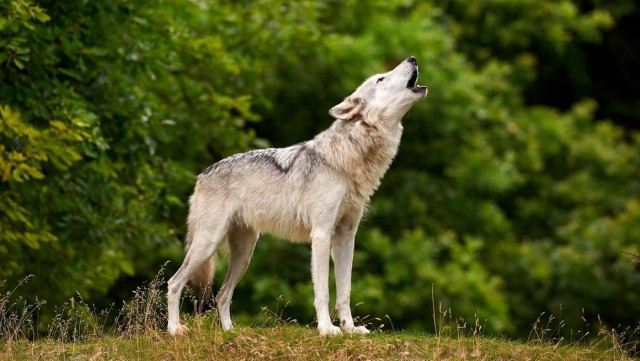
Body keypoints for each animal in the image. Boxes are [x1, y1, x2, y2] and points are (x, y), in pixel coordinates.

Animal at [168, 55, 428, 334]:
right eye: (380, 79)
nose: (412, 58)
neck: (349, 158)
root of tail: (202, 175)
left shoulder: (346, 237)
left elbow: (345, 291)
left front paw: (350, 329)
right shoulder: (321, 234)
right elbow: (323, 290)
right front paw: (327, 329)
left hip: (244, 254)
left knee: (222, 295)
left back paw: (229, 332)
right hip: (208, 244)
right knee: (174, 283)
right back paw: (175, 329)